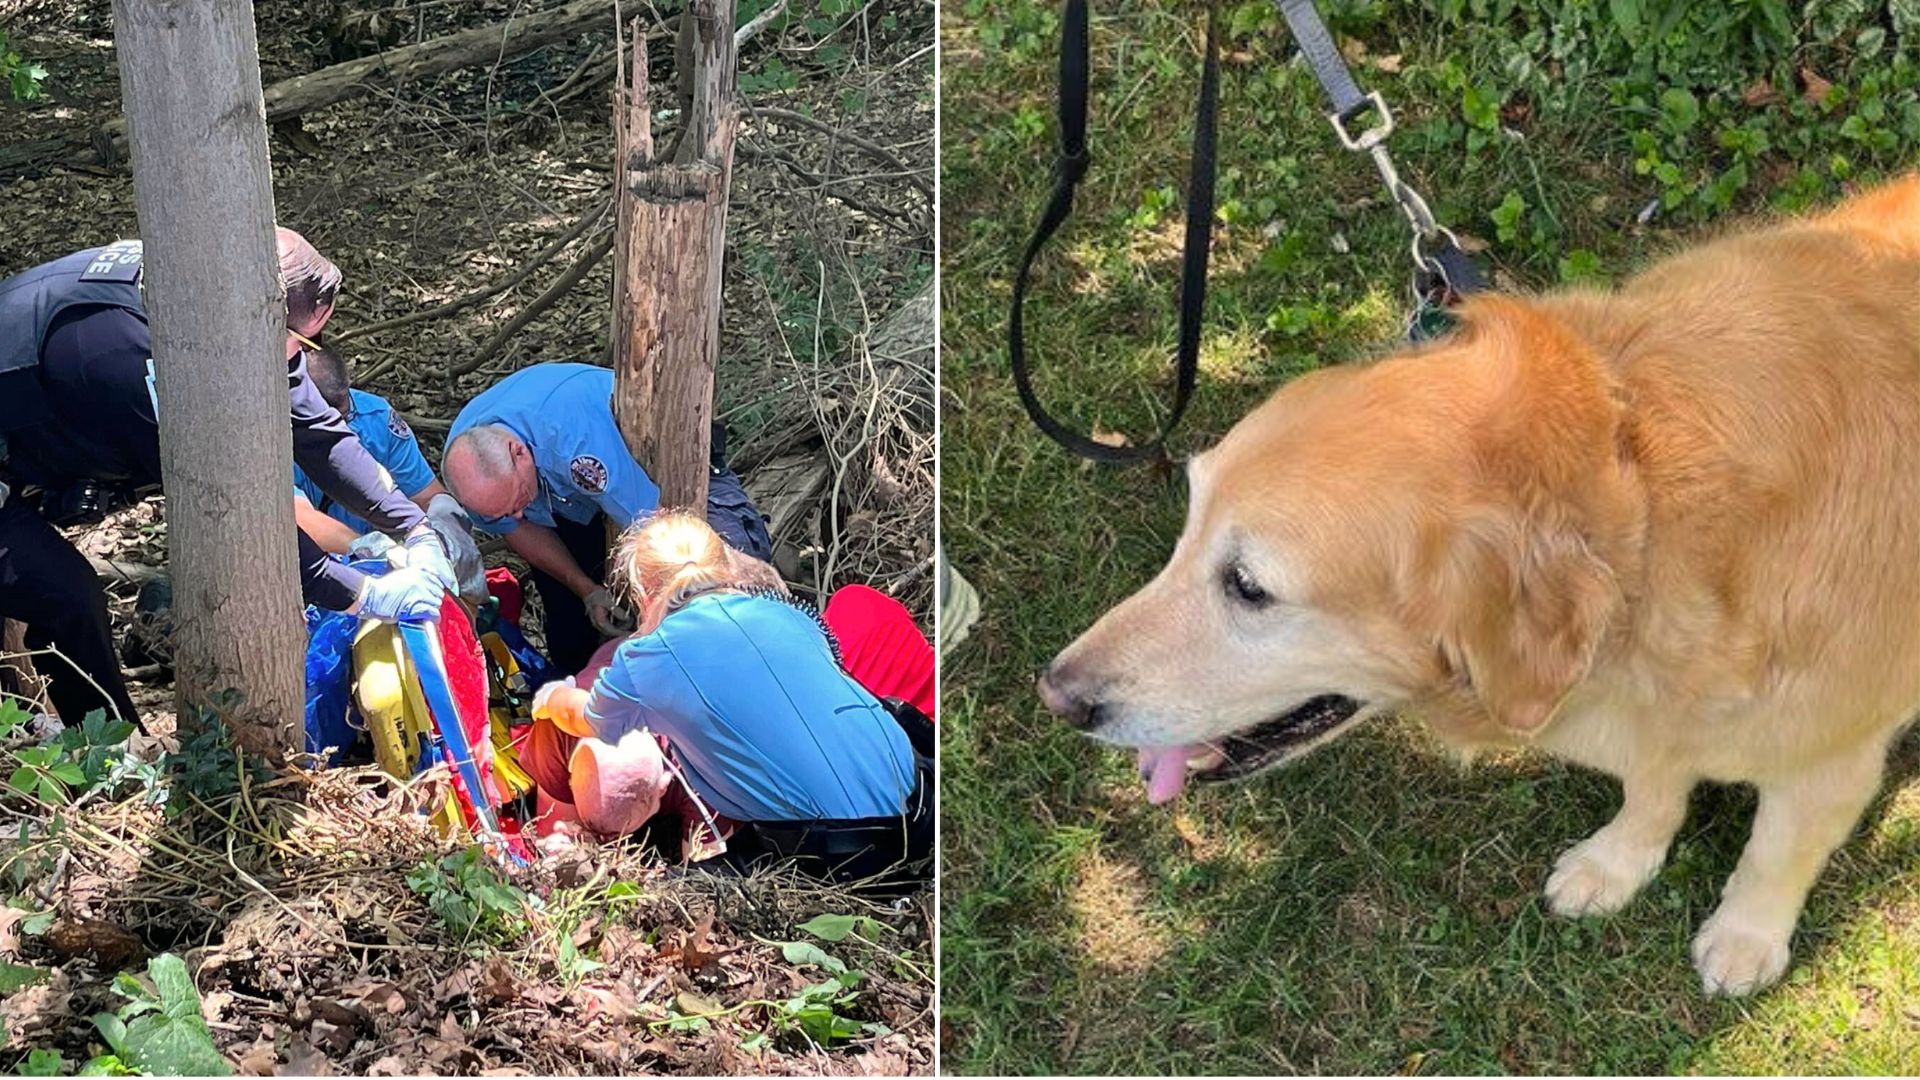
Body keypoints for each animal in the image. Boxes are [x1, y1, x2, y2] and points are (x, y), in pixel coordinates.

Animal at [1044, 170, 1920, 991]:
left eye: (1249, 587)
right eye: (1188, 526)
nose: (1057, 696)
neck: (1646, 504)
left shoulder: (1832, 762)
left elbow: (1775, 854)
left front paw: (1746, 937)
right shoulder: (1653, 717)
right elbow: (1652, 789)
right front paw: (1616, 863)